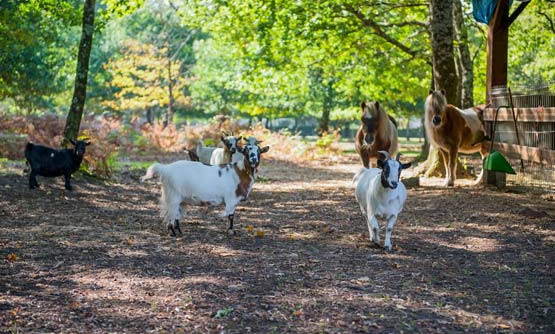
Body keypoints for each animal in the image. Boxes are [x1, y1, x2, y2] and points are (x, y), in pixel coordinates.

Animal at [142, 142, 270, 236]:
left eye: (259, 151)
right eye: (246, 150)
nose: (254, 160)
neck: (241, 171)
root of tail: (165, 169)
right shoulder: (231, 198)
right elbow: (231, 216)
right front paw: (231, 231)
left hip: (180, 198)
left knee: (177, 214)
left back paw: (179, 231)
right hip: (173, 195)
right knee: (171, 213)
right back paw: (172, 233)